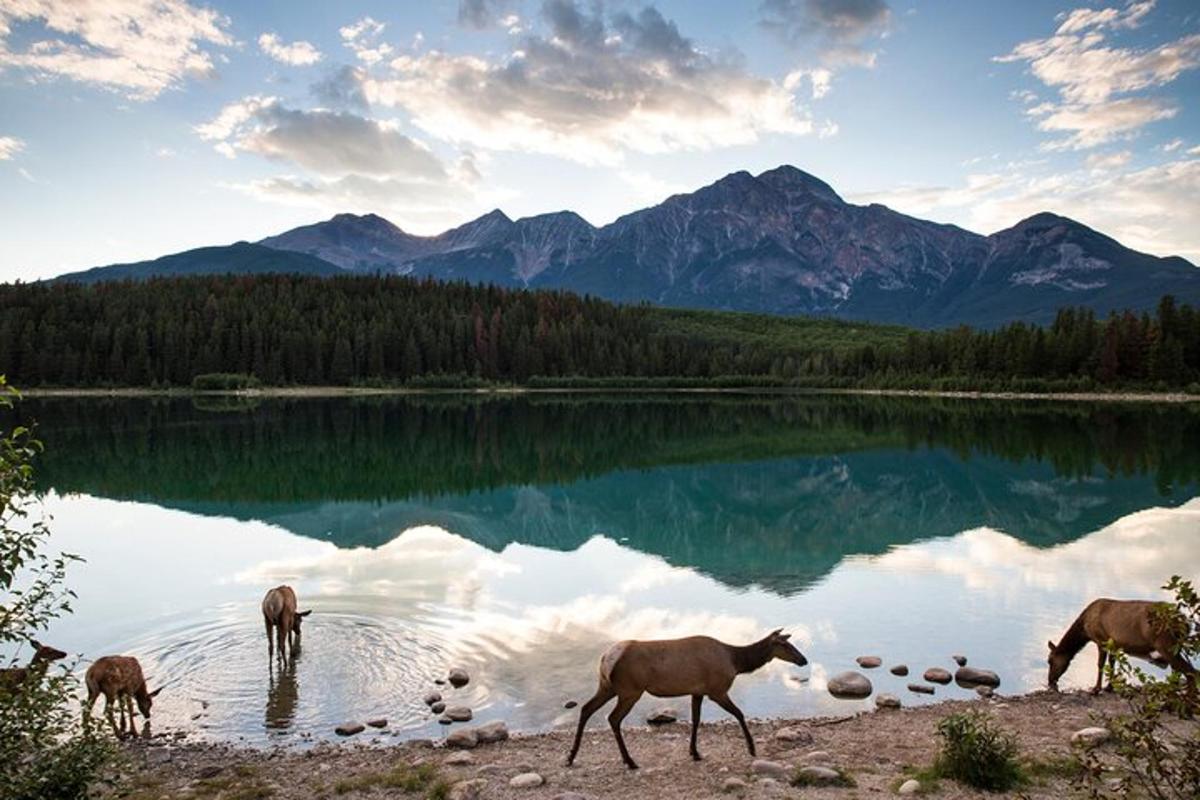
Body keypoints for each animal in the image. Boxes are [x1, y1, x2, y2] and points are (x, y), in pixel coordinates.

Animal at [568, 633, 811, 767]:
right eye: (786, 645)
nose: (803, 659)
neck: (735, 663)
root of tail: (606, 658)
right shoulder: (717, 690)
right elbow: (740, 714)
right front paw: (751, 748)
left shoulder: (698, 692)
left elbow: (695, 721)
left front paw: (694, 752)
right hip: (630, 690)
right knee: (613, 718)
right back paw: (630, 761)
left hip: (607, 686)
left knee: (586, 709)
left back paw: (571, 756)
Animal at [1046, 599, 1195, 695]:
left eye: (1050, 661)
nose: (1050, 681)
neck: (1084, 630)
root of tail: (1186, 623)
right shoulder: (1114, 644)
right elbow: (1112, 663)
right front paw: (1109, 687)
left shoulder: (1101, 640)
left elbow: (1100, 664)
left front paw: (1096, 689)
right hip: (1175, 647)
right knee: (1179, 670)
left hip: (1165, 645)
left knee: (1191, 671)